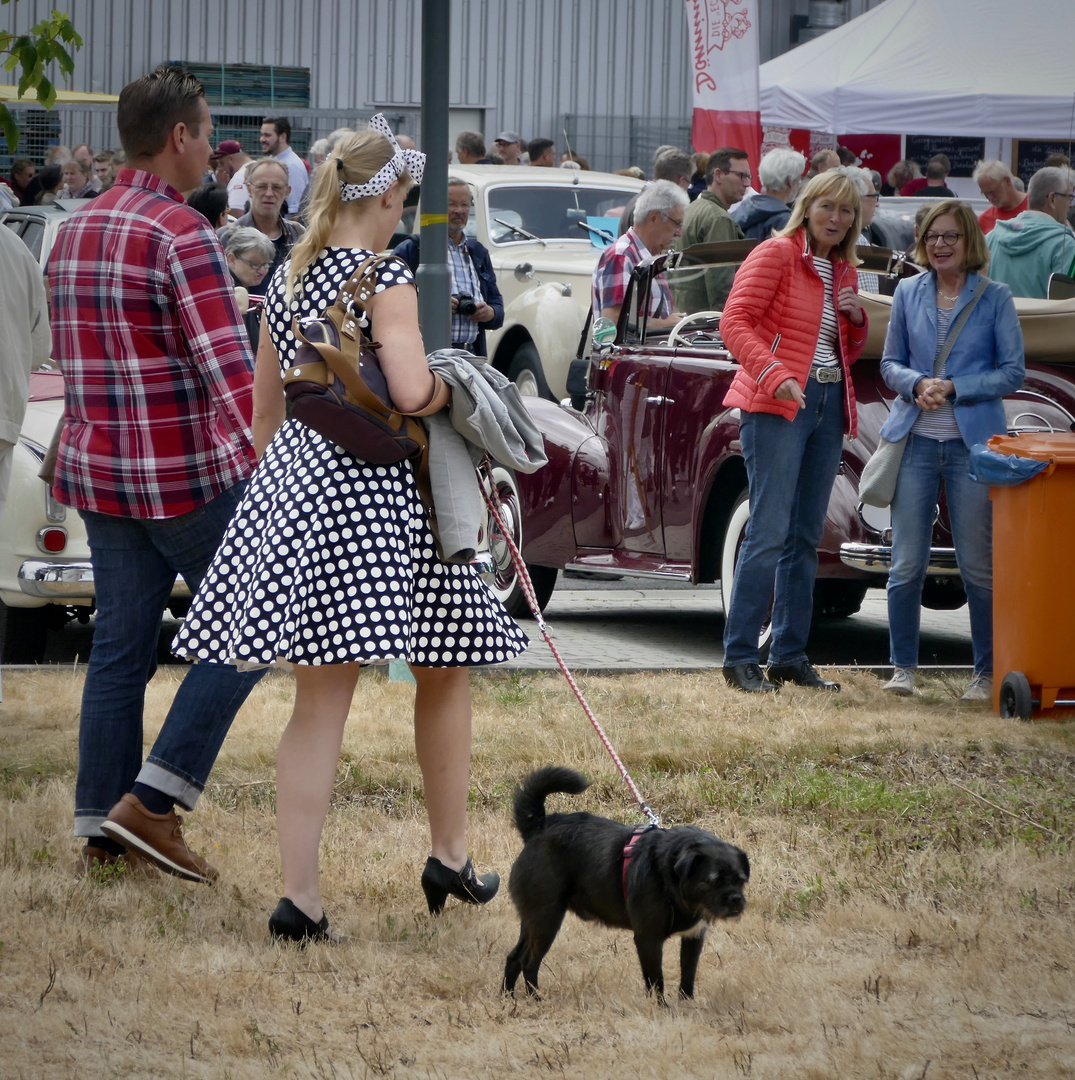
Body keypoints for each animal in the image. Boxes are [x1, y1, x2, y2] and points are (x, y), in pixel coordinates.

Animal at [501, 764, 747, 997]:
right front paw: (661, 1009)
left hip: (533, 920)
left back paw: (508, 998)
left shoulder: (693, 938)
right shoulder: (648, 940)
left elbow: (687, 980)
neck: (670, 879)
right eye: (712, 880)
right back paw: (535, 1000)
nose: (736, 900)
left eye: (742, 880)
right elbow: (656, 983)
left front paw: (686, 1006)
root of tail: (538, 828)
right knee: (529, 963)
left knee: (514, 958)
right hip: (546, 920)